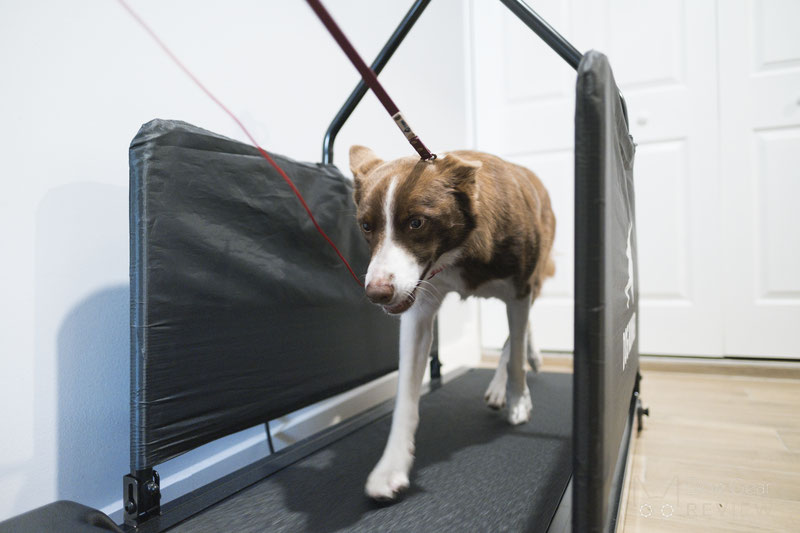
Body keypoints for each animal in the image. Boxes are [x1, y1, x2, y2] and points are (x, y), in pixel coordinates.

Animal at [350, 144, 556, 498]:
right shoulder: (418, 309)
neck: (459, 248)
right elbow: (405, 396)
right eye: (366, 226)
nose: (377, 293)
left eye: (416, 222)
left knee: (516, 335)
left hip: (537, 273)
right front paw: (391, 465)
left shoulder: (519, 290)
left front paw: (519, 400)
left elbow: (515, 356)